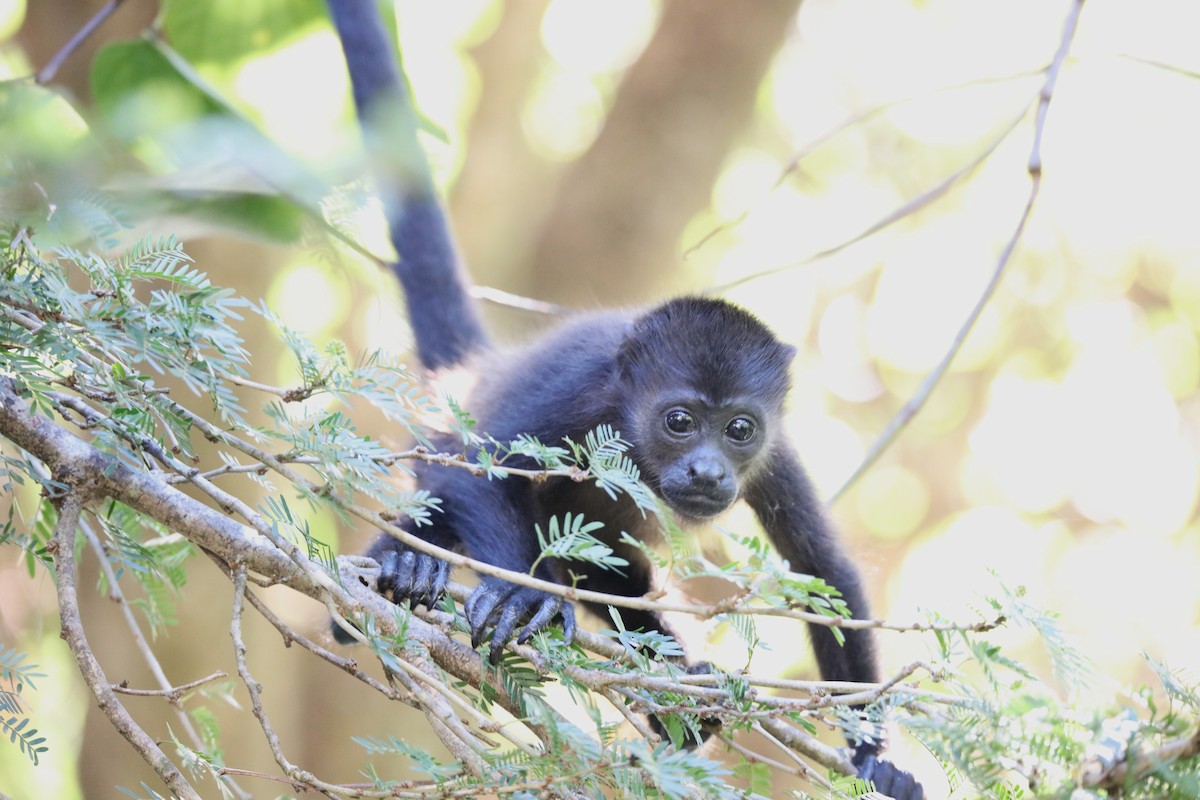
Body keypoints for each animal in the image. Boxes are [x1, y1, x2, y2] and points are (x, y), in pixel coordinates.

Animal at [324, 1, 924, 797]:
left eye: (739, 429)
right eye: (679, 421)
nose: (707, 471)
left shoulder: (777, 455)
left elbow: (823, 572)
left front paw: (873, 755)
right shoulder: (576, 389)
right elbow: (477, 469)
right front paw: (520, 596)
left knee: (618, 572)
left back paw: (676, 691)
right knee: (452, 474)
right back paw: (408, 568)